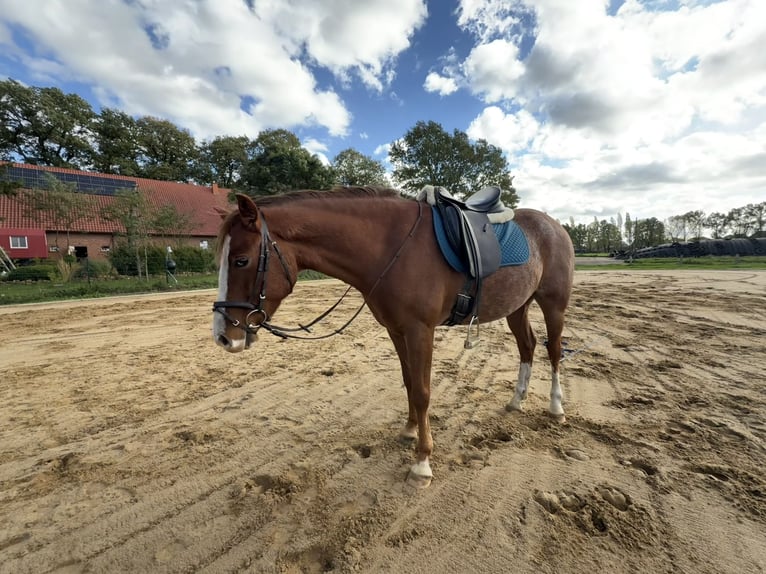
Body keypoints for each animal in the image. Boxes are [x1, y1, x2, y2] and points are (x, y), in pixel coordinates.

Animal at [212, 187, 574, 488]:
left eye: (241, 260)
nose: (223, 337)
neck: (391, 247)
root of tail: (554, 225)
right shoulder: (396, 330)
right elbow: (409, 383)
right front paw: (409, 431)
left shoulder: (420, 330)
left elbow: (424, 392)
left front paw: (422, 464)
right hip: (518, 306)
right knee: (527, 346)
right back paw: (517, 400)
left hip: (553, 304)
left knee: (554, 350)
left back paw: (556, 407)